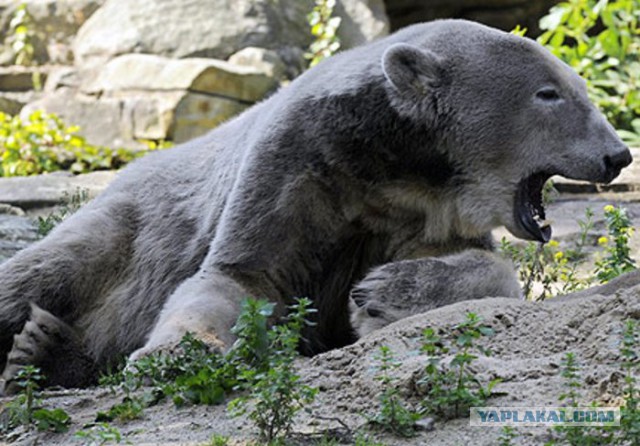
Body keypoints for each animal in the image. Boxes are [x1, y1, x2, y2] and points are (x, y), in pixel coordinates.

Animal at [0, 19, 632, 392]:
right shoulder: (295, 163)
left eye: (577, 86)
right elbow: (239, 275)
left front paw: (382, 293)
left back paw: (44, 348)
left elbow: (490, 271)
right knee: (49, 268)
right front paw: (173, 355)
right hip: (130, 224)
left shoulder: (427, 210)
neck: (391, 161)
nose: (618, 154)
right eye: (549, 93)